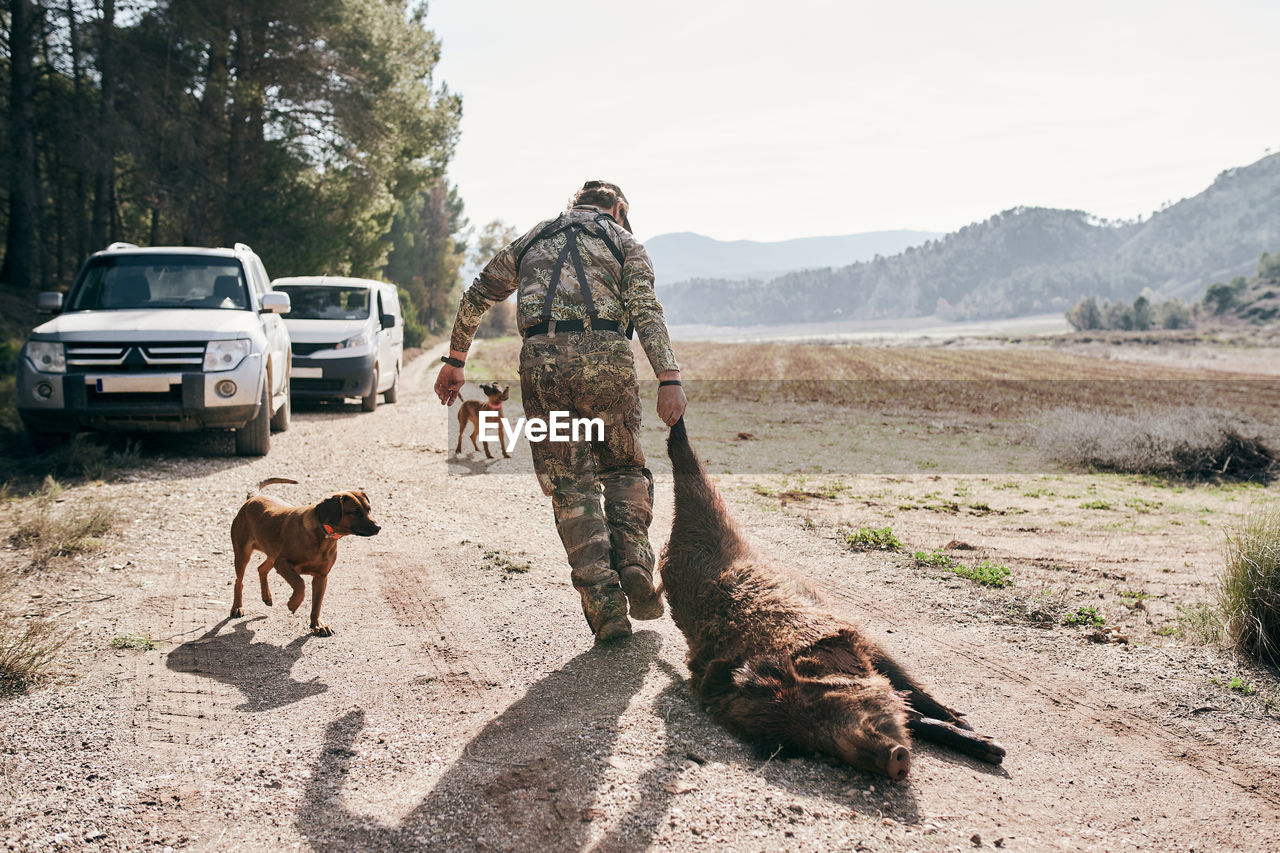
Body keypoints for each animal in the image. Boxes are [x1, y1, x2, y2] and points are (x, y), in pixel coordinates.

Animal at [231, 479, 378, 630]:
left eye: (369, 509)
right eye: (355, 512)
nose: (378, 527)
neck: (323, 535)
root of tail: (253, 498)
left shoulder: (321, 576)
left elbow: (317, 604)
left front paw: (318, 625)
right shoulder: (283, 563)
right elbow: (300, 584)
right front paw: (293, 604)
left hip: (271, 555)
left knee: (261, 569)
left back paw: (266, 596)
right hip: (243, 554)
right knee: (239, 581)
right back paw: (237, 607)